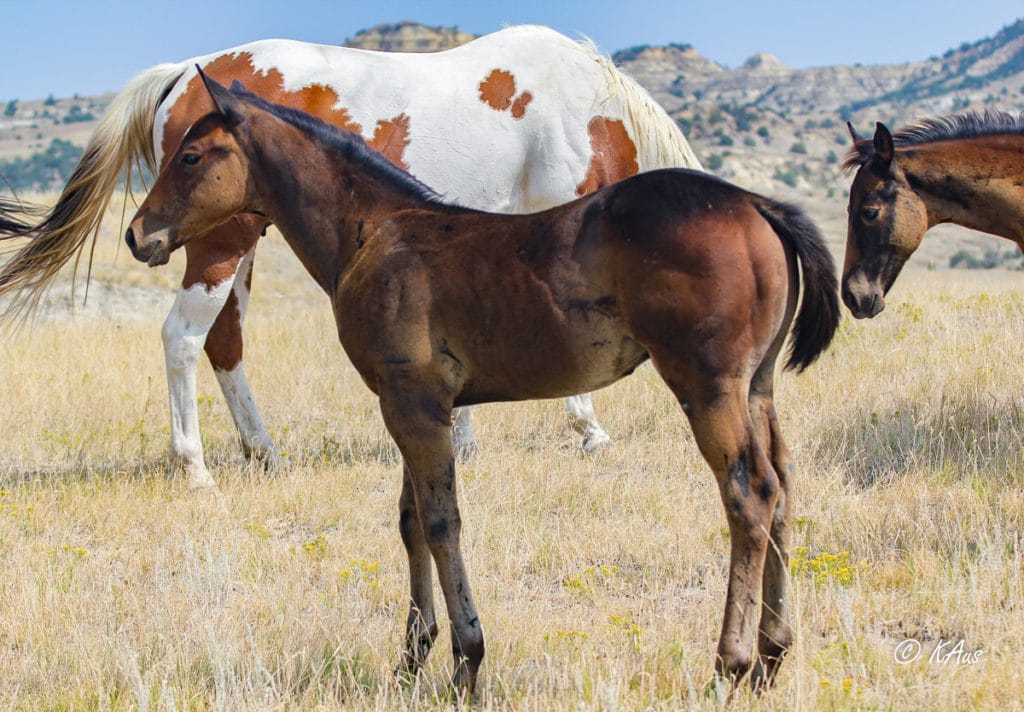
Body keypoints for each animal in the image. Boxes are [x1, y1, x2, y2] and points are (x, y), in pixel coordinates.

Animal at [0, 25, 700, 487]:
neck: (586, 107)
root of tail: (181, 73)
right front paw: (588, 430)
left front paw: (463, 439)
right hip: (220, 244)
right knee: (182, 338)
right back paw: (194, 467)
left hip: (238, 243)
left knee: (224, 343)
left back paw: (265, 454)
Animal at [123, 75, 835, 692]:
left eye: (191, 156)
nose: (136, 235)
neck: (374, 232)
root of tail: (756, 202)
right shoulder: (409, 403)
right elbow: (410, 520)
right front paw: (410, 658)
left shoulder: (414, 405)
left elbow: (442, 522)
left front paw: (467, 659)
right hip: (757, 386)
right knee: (783, 485)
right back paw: (773, 654)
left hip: (707, 384)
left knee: (749, 495)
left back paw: (731, 664)